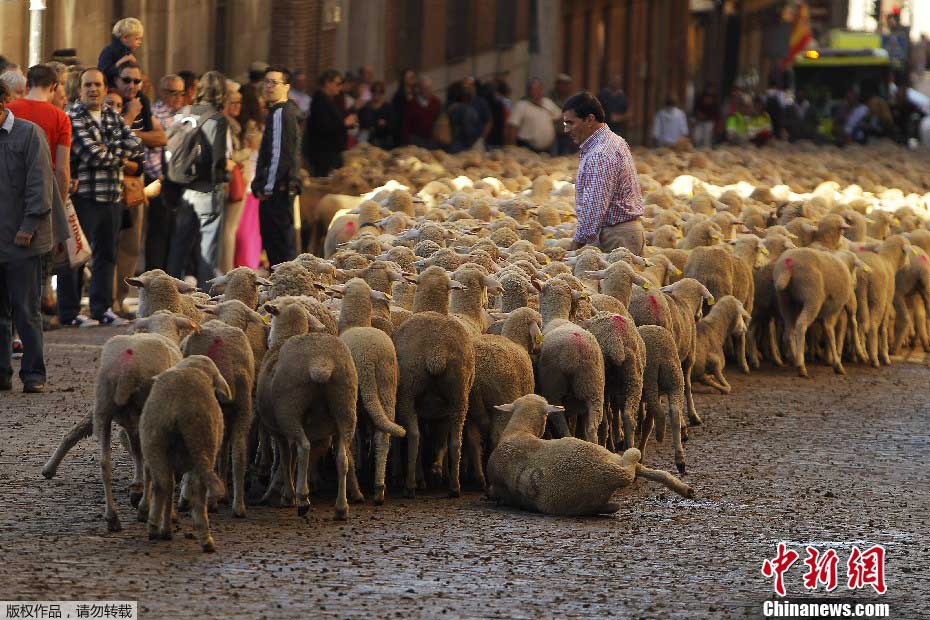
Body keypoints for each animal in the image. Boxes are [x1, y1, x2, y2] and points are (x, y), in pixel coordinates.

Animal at [139, 354, 231, 552]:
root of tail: (179, 405)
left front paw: (166, 529)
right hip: (202, 447)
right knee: (195, 490)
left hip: (155, 443)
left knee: (163, 485)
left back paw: (156, 527)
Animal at [336, 278, 404, 504]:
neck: (357, 322)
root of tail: (371, 355)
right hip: (386, 385)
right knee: (383, 437)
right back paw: (379, 488)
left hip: (359, 392)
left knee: (350, 441)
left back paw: (360, 490)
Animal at [394, 264, 478, 496]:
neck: (433, 309)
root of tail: (436, 351)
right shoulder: (439, 412)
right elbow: (440, 440)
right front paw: (436, 471)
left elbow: (424, 439)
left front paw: (424, 478)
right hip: (459, 395)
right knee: (456, 441)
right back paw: (454, 486)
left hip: (408, 391)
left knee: (414, 436)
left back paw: (410, 486)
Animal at [482, 394, 692, 516]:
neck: (518, 433)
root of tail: (610, 474)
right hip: (600, 468)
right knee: (636, 470)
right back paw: (684, 489)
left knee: (635, 466)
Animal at [532, 278, 604, 444]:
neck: (557, 317)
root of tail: (576, 350)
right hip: (594, 388)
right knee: (592, 428)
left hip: (554, 388)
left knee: (561, 423)